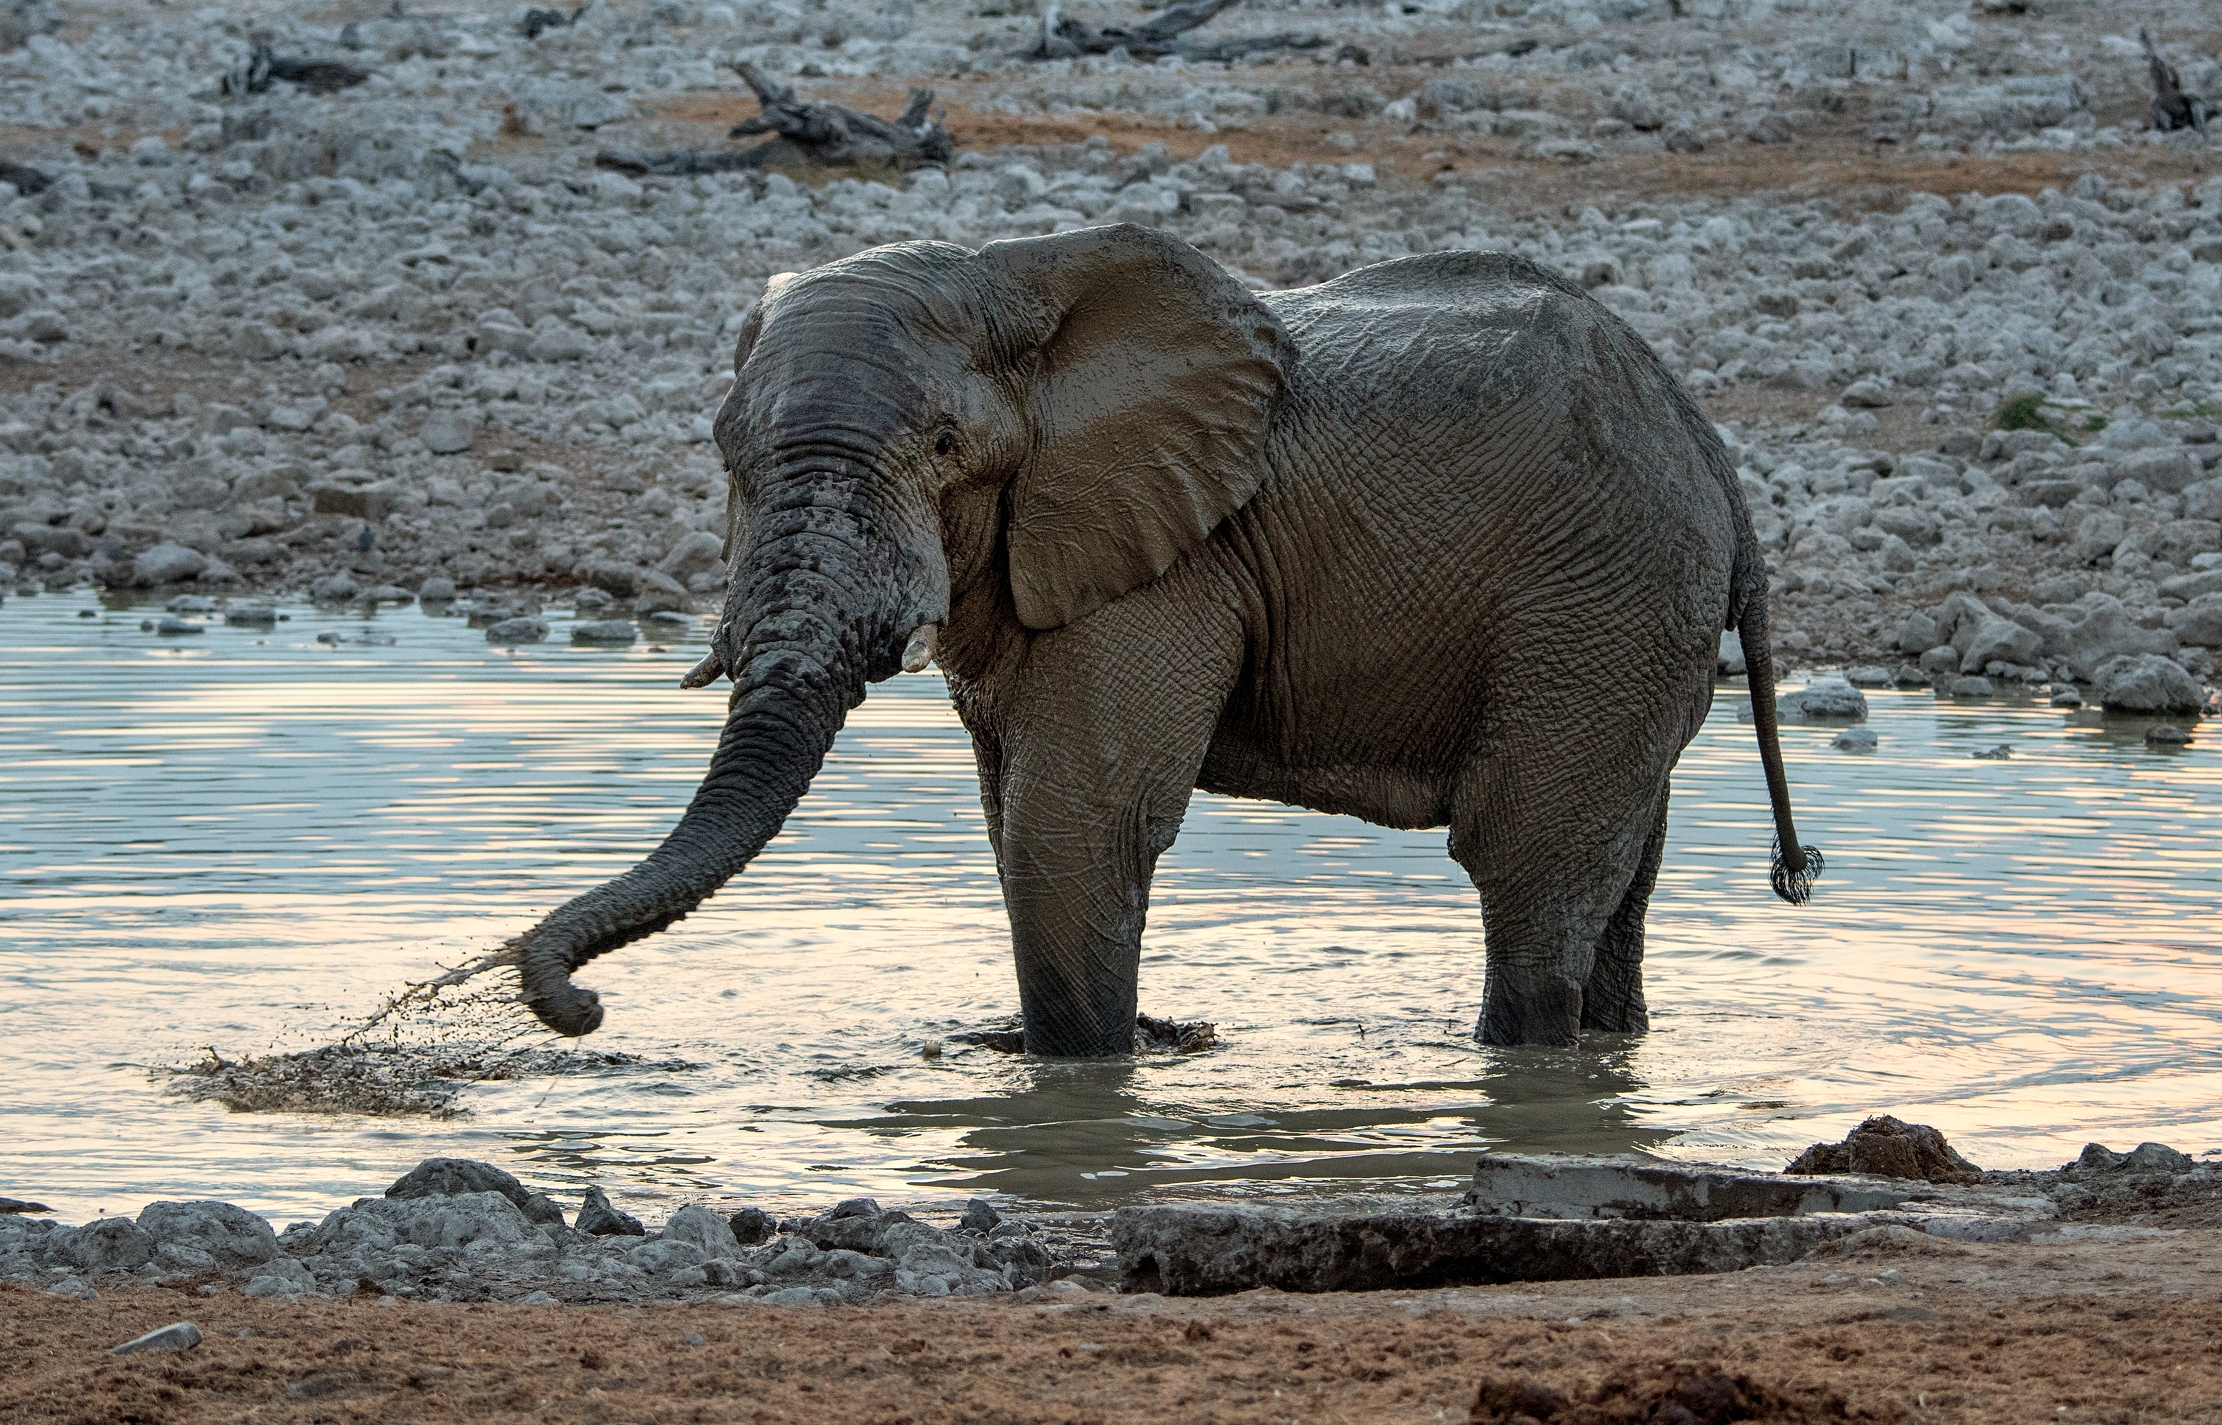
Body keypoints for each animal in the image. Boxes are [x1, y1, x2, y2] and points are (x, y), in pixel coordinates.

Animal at [508, 223, 1820, 1054]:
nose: (579, 1012)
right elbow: (1015, 824)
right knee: (1616, 876)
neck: (1008, 275)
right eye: (725, 452)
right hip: (1624, 615)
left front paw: (1091, 1081)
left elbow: (1069, 828)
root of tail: (1707, 448)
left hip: (1597, 598)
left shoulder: (1168, 560)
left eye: (943, 447)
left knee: (1525, 869)